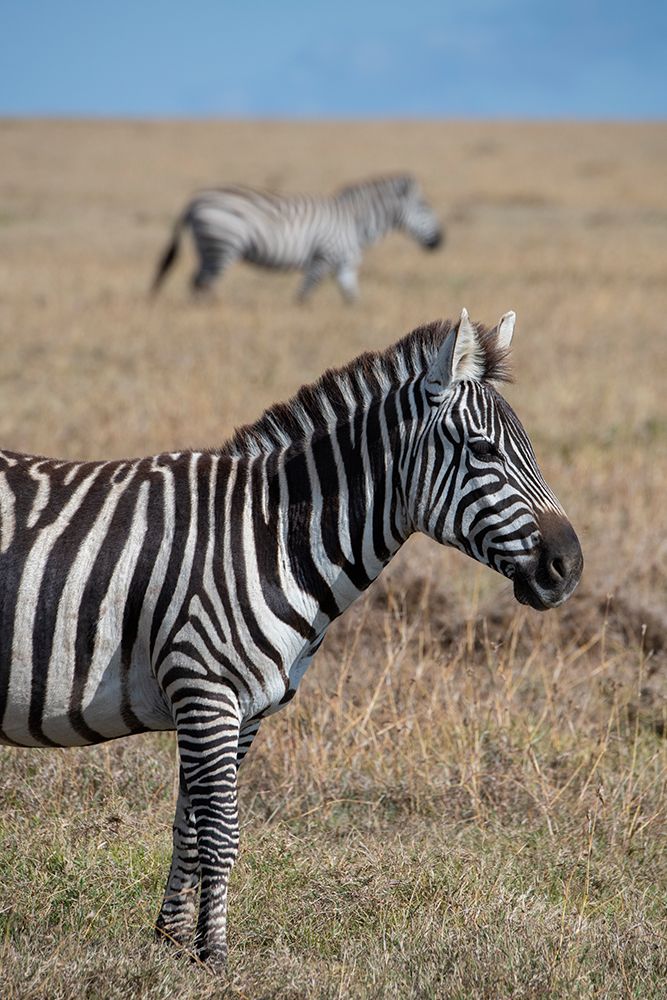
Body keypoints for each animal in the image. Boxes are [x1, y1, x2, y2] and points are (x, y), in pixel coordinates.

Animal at [0, 306, 584, 968]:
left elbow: (190, 824)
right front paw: (214, 957)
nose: (569, 567)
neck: (270, 534)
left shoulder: (239, 708)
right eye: (483, 450)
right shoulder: (204, 688)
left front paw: (171, 942)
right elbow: (221, 832)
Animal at [151, 174, 444, 302]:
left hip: (208, 247)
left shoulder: (345, 265)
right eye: (425, 207)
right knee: (203, 282)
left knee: (197, 280)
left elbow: (352, 298)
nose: (441, 241)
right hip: (222, 244)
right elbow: (304, 295)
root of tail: (193, 202)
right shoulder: (323, 258)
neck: (355, 222)